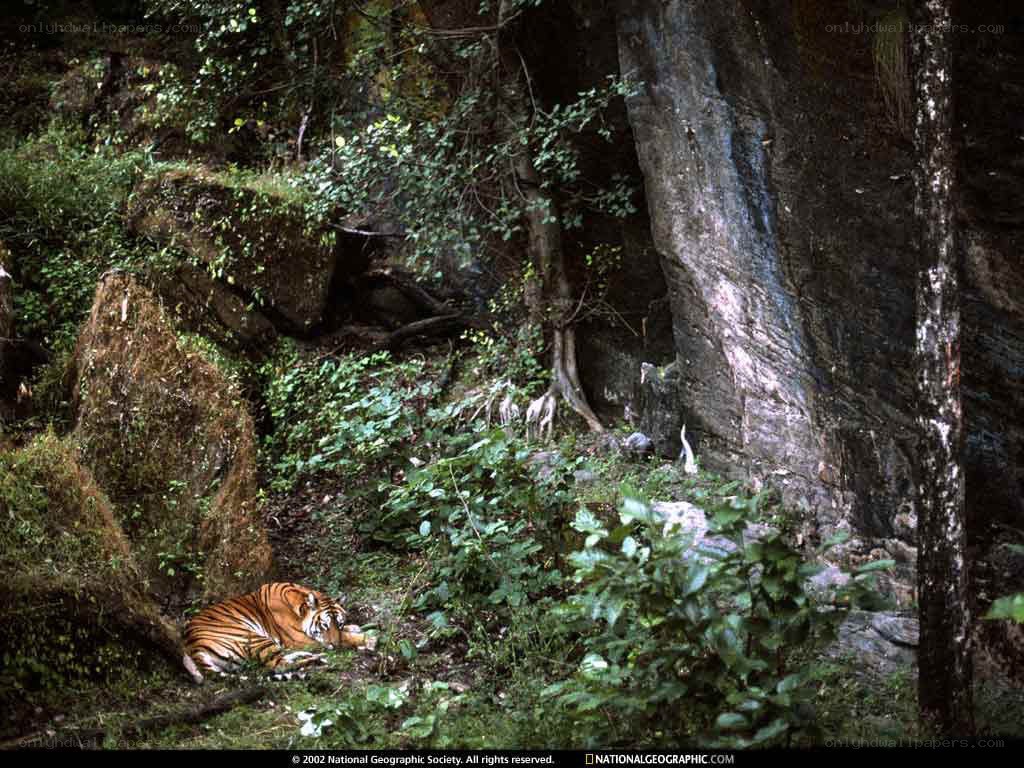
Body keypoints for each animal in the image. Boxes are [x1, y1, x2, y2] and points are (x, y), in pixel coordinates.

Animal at [183, 582, 376, 682]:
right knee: (278, 665)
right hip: (252, 637)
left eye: (339, 624)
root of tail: (194, 648)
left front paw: (355, 627)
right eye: (324, 626)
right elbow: (347, 638)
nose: (335, 646)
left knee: (282, 659)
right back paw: (318, 659)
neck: (300, 606)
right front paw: (369, 639)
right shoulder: (299, 638)